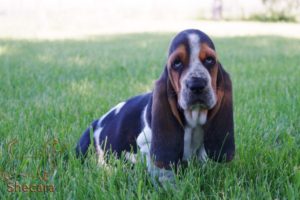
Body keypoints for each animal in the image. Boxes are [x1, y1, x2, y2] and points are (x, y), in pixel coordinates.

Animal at [75, 28, 234, 184]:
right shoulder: (147, 143)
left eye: (210, 60)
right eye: (176, 63)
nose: (197, 84)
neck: (193, 121)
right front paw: (170, 187)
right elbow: (164, 171)